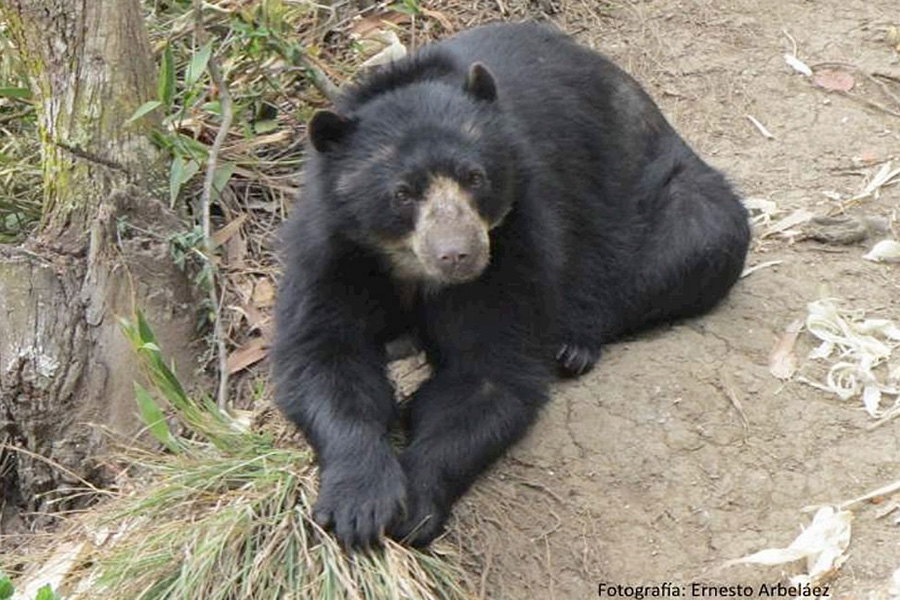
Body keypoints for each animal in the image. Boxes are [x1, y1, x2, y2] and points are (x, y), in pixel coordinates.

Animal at [272, 22, 750, 549]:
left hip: (658, 192)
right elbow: (325, 356)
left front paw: (414, 504)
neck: (412, 271)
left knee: (700, 235)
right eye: (402, 194)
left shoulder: (515, 243)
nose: (457, 255)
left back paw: (573, 345)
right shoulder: (333, 253)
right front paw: (359, 505)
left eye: (474, 177)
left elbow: (491, 371)